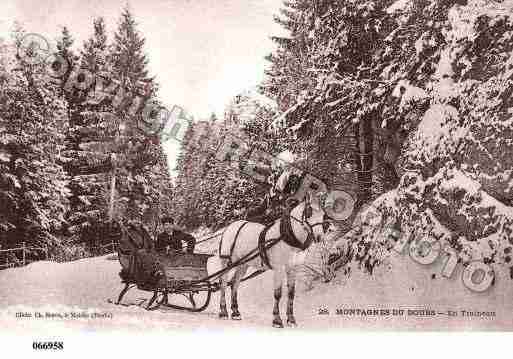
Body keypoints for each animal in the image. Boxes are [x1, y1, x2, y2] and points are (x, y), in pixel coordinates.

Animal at [207, 194, 328, 330]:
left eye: (323, 214)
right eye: (309, 212)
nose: (319, 237)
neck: (285, 237)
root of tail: (230, 227)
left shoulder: (292, 268)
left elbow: (291, 293)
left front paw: (291, 320)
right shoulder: (279, 268)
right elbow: (278, 293)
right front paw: (277, 320)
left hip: (243, 265)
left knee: (234, 284)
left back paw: (236, 312)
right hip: (226, 262)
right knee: (223, 284)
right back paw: (223, 312)